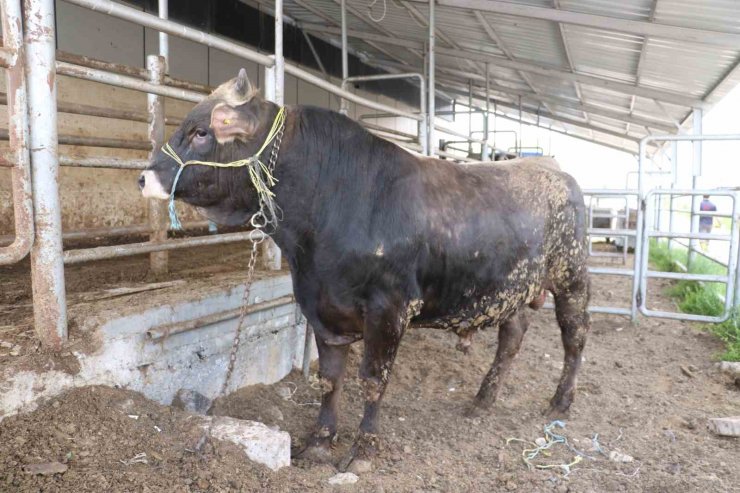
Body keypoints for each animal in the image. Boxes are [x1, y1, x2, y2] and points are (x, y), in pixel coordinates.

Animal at [137, 69, 588, 472]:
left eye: (201, 132)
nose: (143, 178)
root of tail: (552, 169)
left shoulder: (390, 307)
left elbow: (373, 380)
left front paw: (363, 449)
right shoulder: (320, 305)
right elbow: (330, 379)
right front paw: (319, 441)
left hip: (572, 279)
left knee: (574, 339)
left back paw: (561, 401)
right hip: (509, 290)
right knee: (512, 337)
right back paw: (482, 400)